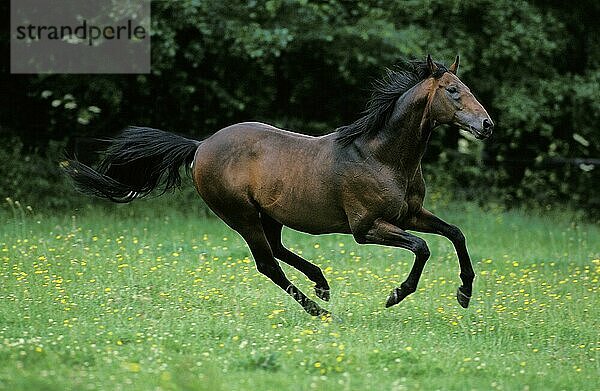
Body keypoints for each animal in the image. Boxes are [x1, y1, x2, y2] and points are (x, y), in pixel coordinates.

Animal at [65, 56, 494, 318]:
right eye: (452, 90)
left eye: (467, 85)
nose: (487, 125)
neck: (382, 157)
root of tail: (200, 146)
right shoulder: (366, 228)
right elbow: (422, 248)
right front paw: (395, 295)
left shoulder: (410, 214)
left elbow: (455, 233)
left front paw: (464, 293)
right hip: (240, 216)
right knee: (267, 263)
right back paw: (320, 310)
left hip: (267, 214)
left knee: (277, 249)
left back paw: (322, 285)